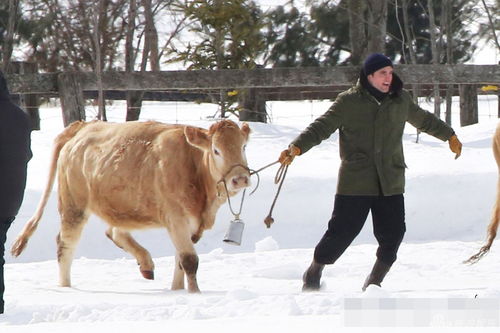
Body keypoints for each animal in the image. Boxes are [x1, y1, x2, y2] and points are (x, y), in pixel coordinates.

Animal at [10, 118, 254, 290]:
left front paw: (177, 291)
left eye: (243, 147)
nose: (240, 178)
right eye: (216, 150)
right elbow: (189, 260)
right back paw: (66, 288)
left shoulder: (190, 225)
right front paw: (195, 294)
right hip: (73, 205)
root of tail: (83, 126)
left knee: (114, 231)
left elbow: (180, 262)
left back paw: (145, 264)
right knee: (65, 244)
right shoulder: (176, 219)